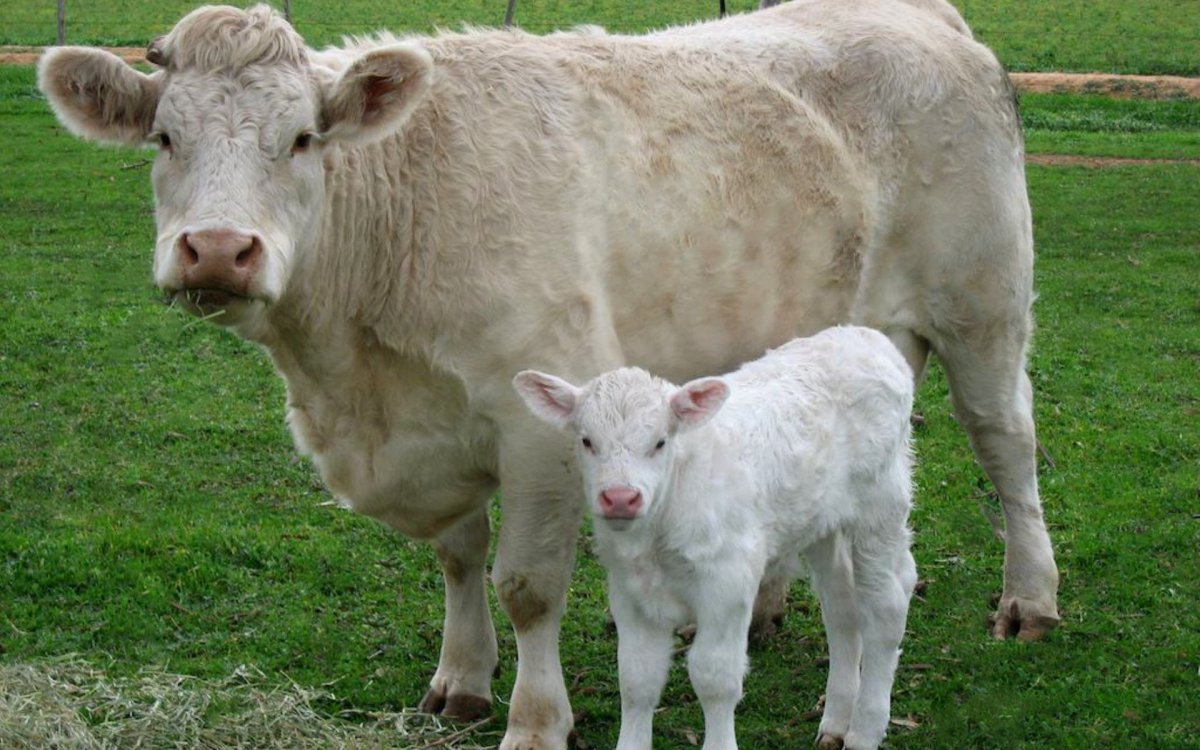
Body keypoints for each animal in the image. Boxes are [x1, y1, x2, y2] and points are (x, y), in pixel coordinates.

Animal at [514, 326, 917, 750]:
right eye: (587, 441)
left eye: (660, 442)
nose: (621, 497)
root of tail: (865, 337)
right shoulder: (629, 592)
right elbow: (637, 678)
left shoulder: (728, 584)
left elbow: (714, 677)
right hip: (821, 520)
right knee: (841, 603)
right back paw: (836, 721)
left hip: (881, 505)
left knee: (886, 604)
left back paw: (865, 730)